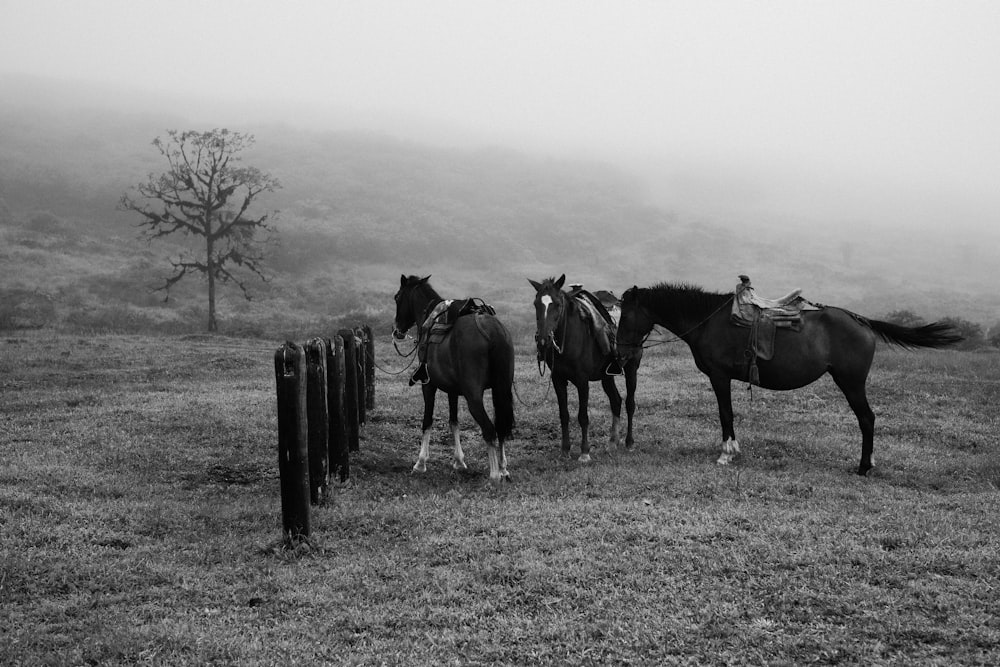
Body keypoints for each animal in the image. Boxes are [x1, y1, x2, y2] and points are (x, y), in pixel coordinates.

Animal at [390, 274, 516, 482]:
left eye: (397, 297)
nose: (397, 330)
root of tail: (493, 331)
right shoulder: (453, 390)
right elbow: (454, 422)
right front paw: (459, 461)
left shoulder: (428, 385)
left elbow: (427, 421)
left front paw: (420, 463)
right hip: (502, 390)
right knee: (501, 427)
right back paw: (503, 469)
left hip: (474, 397)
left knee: (489, 430)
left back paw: (494, 474)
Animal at [532, 276, 640, 460]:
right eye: (535, 304)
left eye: (557, 304)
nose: (543, 340)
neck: (569, 338)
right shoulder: (558, 380)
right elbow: (564, 415)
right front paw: (565, 451)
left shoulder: (582, 381)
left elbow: (583, 416)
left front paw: (584, 452)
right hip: (607, 376)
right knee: (616, 401)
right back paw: (612, 443)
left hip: (632, 368)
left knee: (629, 403)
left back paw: (629, 443)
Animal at [616, 280, 960, 474]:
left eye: (626, 315)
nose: (621, 352)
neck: (706, 321)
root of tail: (861, 321)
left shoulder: (719, 376)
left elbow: (725, 413)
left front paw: (727, 454)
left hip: (850, 382)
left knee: (867, 418)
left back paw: (864, 467)